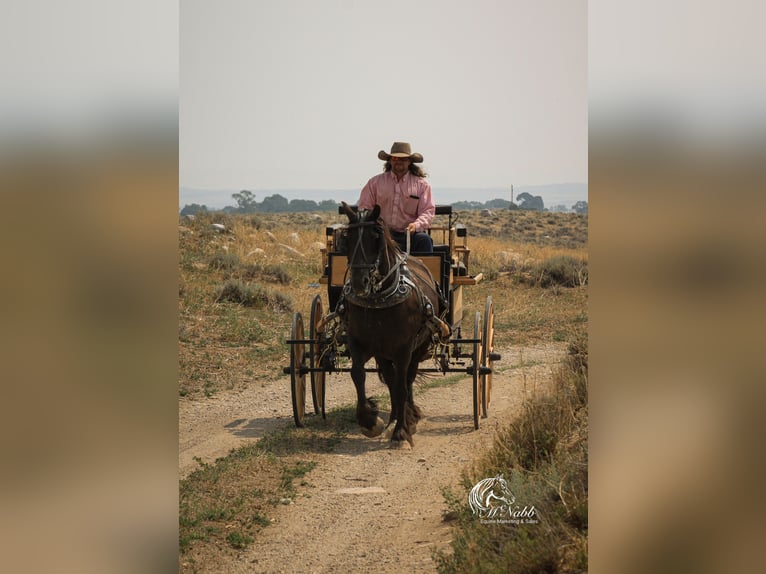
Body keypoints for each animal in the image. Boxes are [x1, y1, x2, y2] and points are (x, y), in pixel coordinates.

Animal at [338, 204, 450, 450]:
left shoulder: (404, 348)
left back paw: (409, 417)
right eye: (347, 237)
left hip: (418, 347)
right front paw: (370, 421)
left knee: (406, 379)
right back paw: (396, 417)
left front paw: (401, 431)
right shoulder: (359, 341)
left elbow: (401, 385)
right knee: (392, 380)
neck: (379, 299)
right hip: (383, 352)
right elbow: (358, 374)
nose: (360, 282)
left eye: (376, 237)